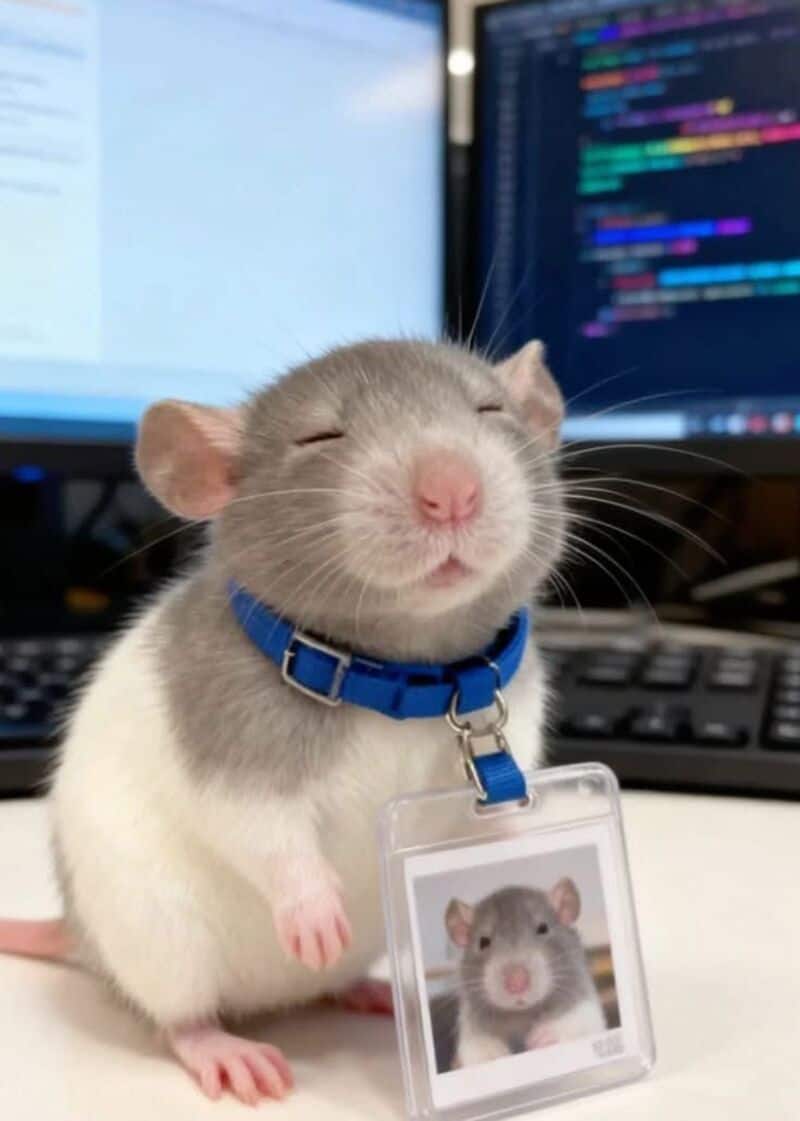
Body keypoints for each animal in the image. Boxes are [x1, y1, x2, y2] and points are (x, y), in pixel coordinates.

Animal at [0, 338, 566, 1104]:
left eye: (489, 410)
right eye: (321, 437)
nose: (451, 490)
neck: (401, 675)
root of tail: (83, 940)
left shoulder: (519, 714)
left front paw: (514, 840)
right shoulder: (228, 727)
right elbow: (256, 825)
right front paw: (312, 907)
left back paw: (370, 994)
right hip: (161, 939)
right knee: (178, 1015)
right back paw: (220, 1046)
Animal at [445, 880, 607, 1069]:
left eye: (543, 928)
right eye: (483, 942)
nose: (517, 982)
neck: (522, 1013)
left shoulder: (583, 1004)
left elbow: (582, 1018)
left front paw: (547, 1035)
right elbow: (477, 1047)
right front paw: (493, 1053)